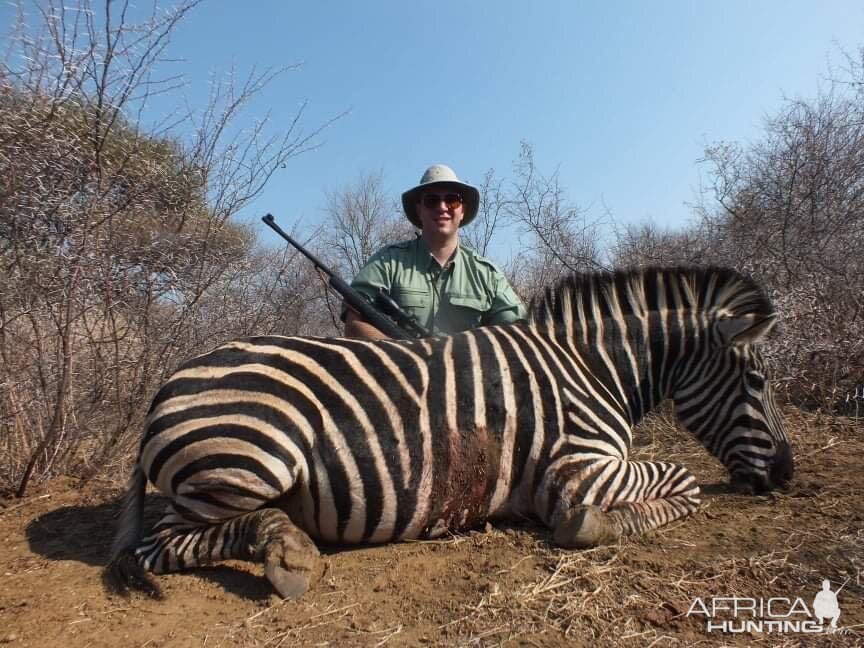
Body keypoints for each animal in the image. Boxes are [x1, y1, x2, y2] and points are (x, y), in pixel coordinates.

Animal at [104, 268, 792, 596]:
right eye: (758, 381)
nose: (787, 475)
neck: (590, 365)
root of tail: (165, 387)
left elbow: (681, 481)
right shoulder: (579, 469)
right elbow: (684, 482)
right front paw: (589, 527)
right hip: (253, 458)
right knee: (161, 546)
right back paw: (288, 552)